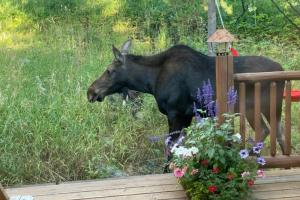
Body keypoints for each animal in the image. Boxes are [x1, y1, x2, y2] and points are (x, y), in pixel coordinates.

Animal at [87, 39, 286, 153]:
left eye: (109, 70)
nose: (91, 91)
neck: (150, 82)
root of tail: (282, 69)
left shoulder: (175, 113)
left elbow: (171, 147)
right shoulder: (188, 115)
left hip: (258, 107)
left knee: (268, 131)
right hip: (267, 108)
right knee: (276, 132)